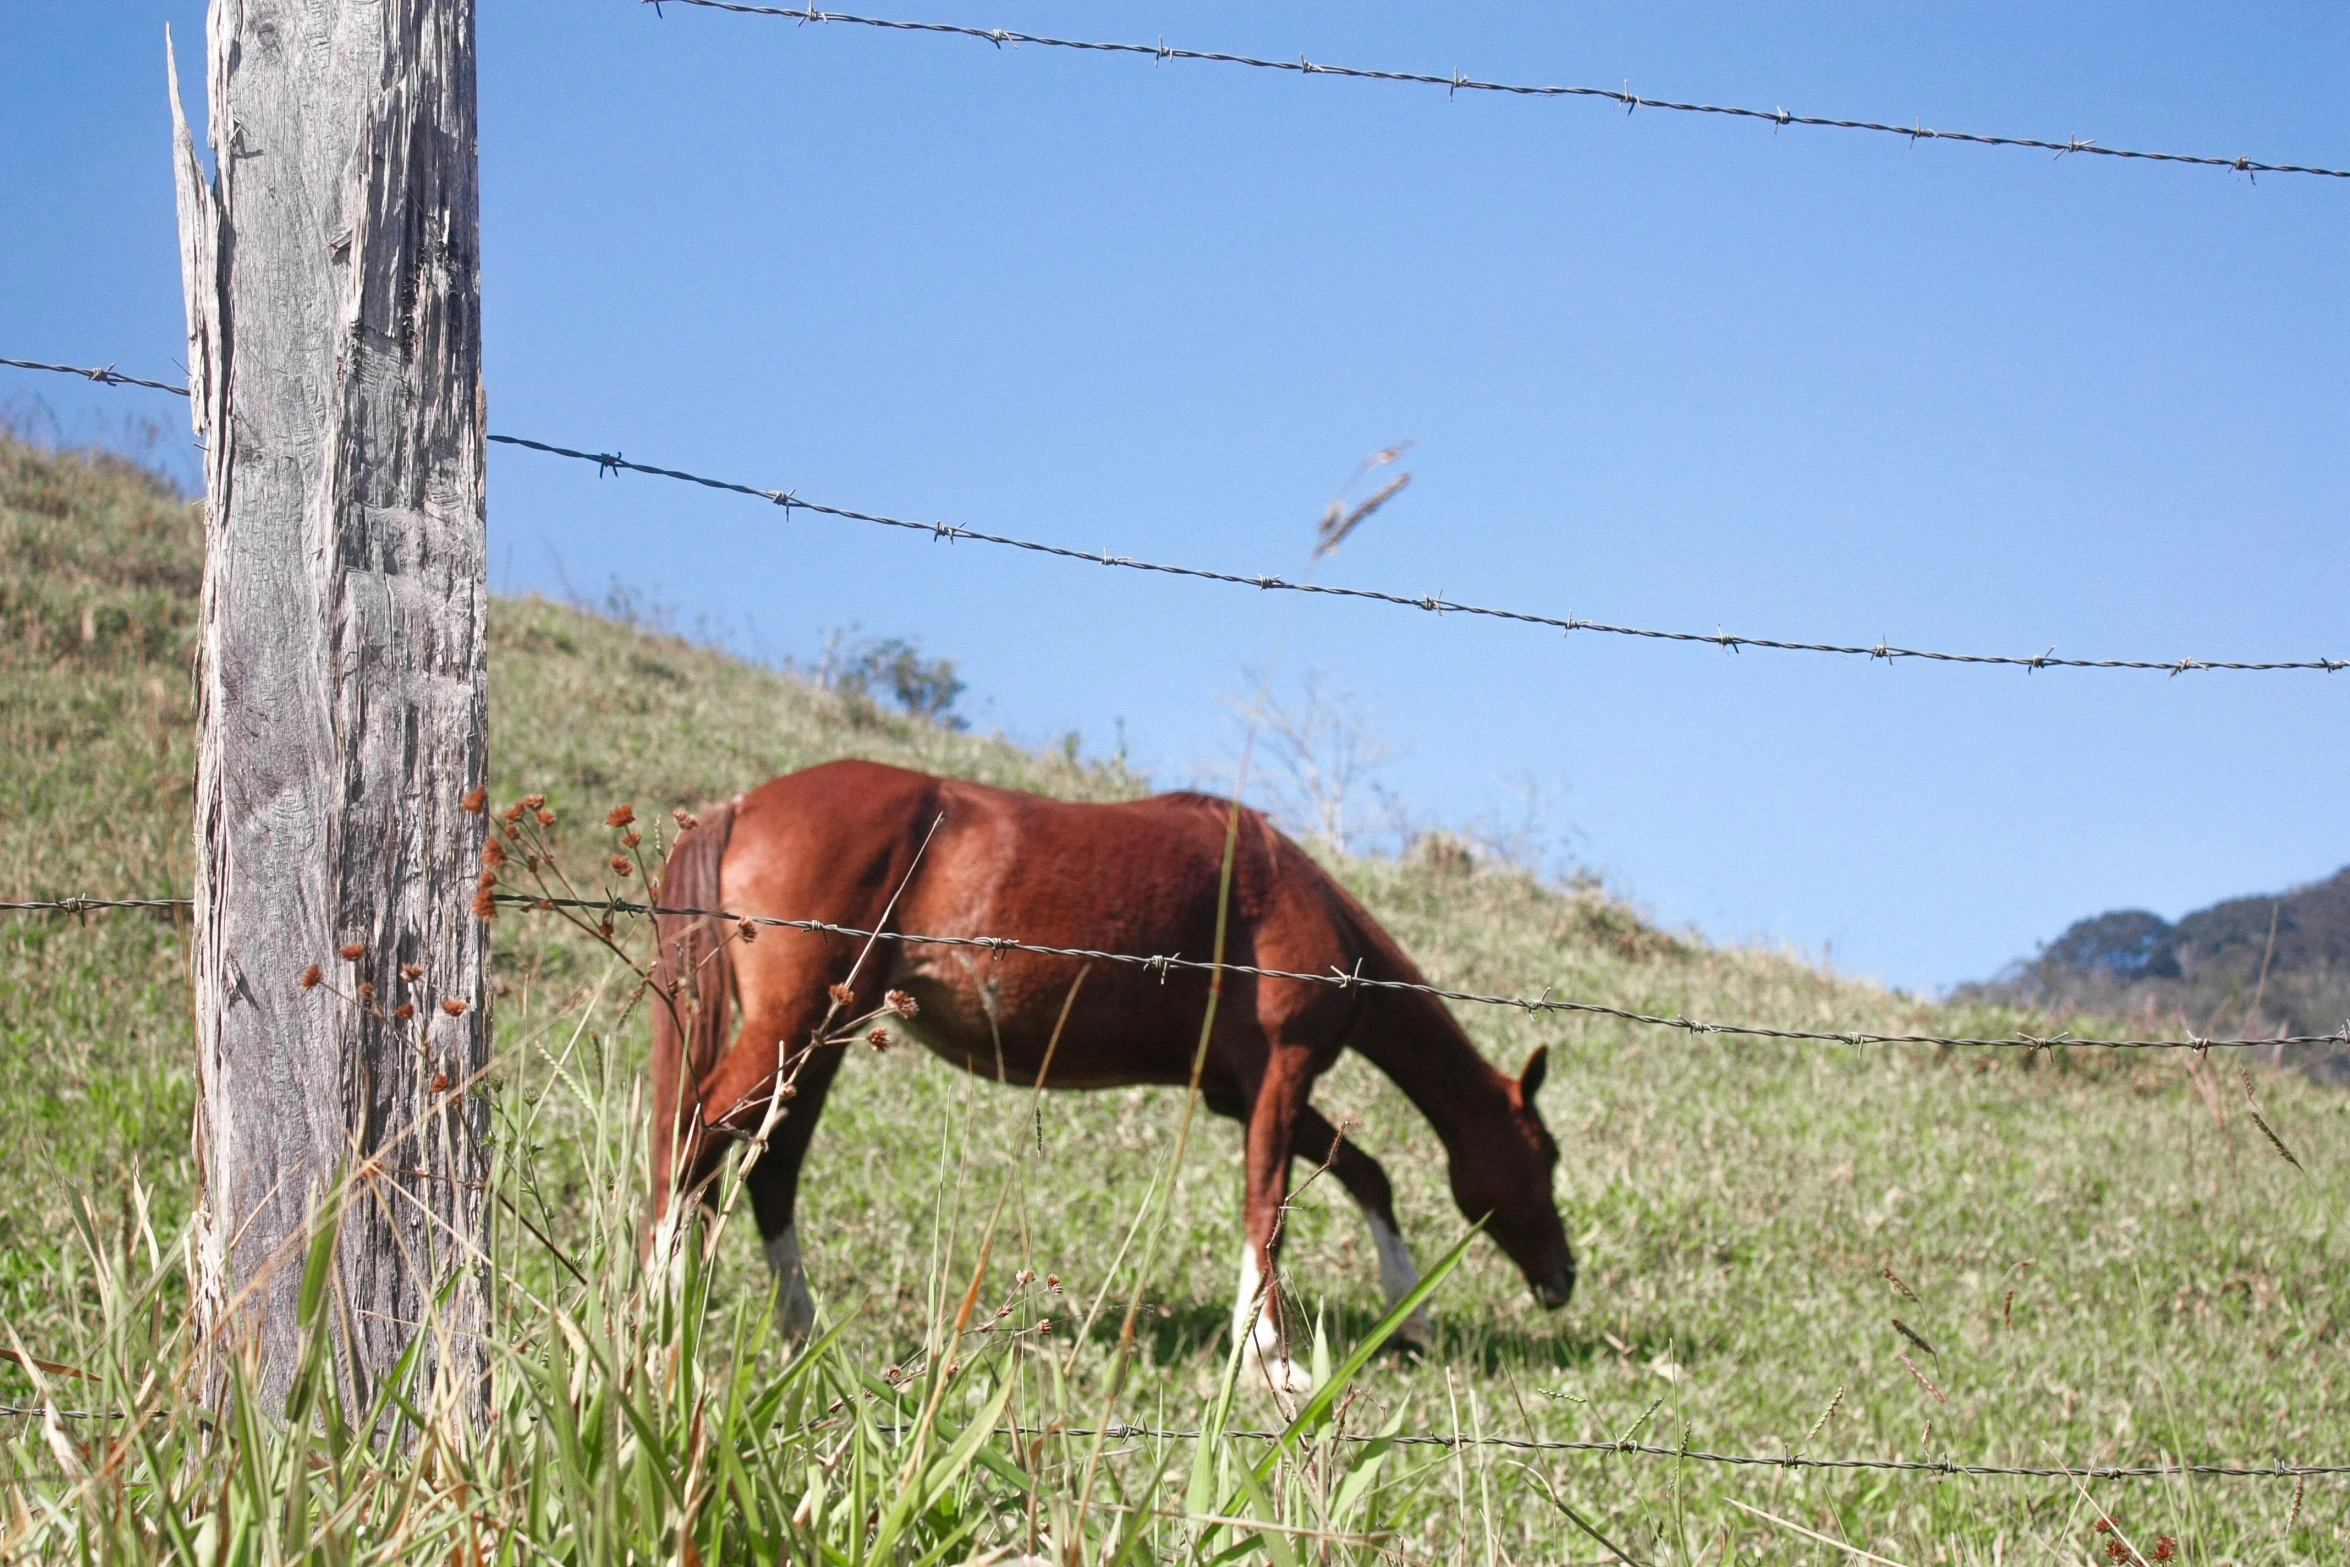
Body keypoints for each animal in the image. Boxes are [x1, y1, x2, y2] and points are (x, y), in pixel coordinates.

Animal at [653, 765, 1569, 1381]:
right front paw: (1273, 1358)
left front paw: (1403, 1313)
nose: (1564, 1278)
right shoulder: (1282, 1076)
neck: (1290, 892)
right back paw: (663, 1314)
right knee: (692, 1142)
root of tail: (742, 806)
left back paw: (798, 1331)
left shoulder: (1238, 1092)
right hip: (795, 1025)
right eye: (1548, 1156)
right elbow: (1267, 1206)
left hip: (822, 1036)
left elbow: (1363, 1174)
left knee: (768, 1170)